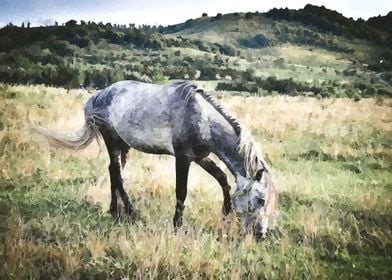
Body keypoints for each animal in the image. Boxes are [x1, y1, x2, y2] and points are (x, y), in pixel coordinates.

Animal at [35, 80, 278, 237]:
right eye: (260, 200)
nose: (260, 234)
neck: (202, 118)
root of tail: (100, 94)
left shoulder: (200, 157)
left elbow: (223, 180)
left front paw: (226, 214)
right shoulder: (183, 158)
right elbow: (181, 192)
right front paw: (177, 227)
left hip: (123, 145)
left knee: (113, 171)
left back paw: (114, 211)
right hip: (112, 141)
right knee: (118, 175)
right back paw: (131, 214)